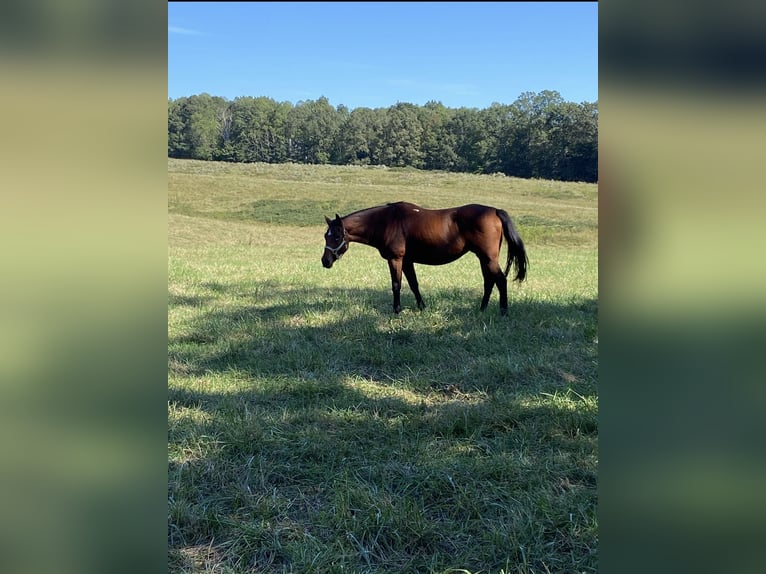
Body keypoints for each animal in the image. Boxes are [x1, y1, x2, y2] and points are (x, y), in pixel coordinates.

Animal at [321, 201, 528, 315]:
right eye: (325, 235)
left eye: (337, 236)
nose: (325, 261)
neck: (387, 221)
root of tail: (494, 210)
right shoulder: (407, 261)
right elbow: (414, 284)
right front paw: (422, 307)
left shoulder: (396, 259)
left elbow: (396, 284)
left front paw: (397, 310)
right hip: (483, 257)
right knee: (489, 281)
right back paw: (482, 309)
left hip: (488, 258)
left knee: (500, 280)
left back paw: (503, 312)